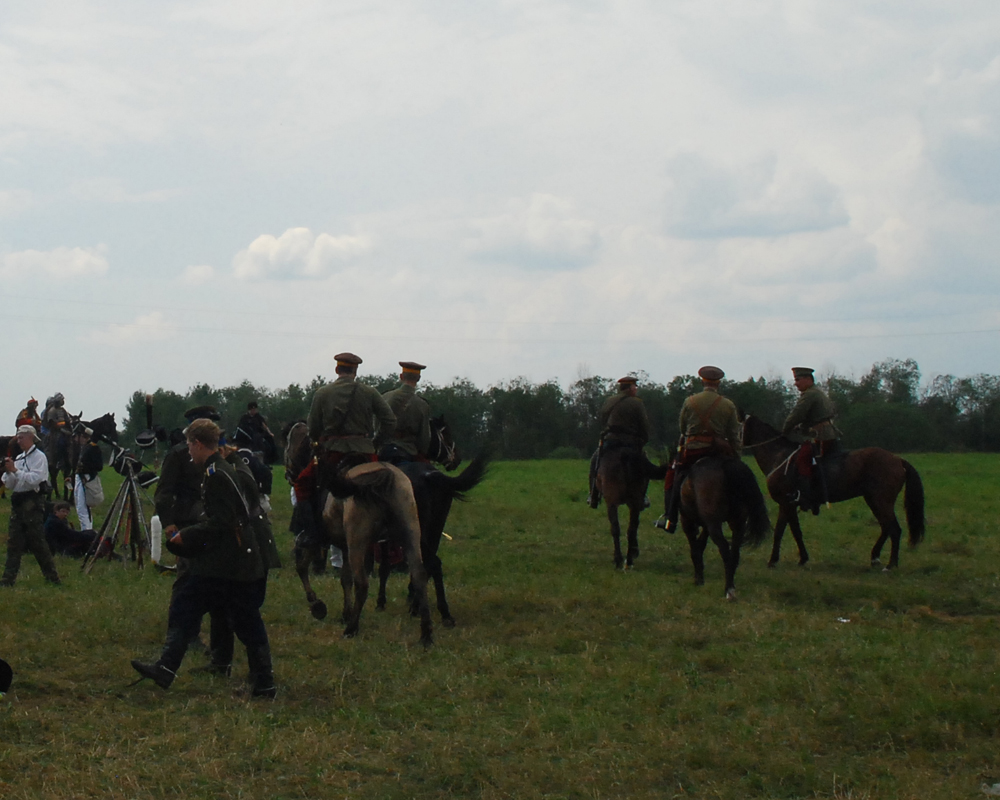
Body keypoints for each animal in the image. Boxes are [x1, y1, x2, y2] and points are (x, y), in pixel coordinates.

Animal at [375, 453, 490, 626]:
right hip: (435, 529)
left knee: (433, 563)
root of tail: (427, 475)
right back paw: (421, 608)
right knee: (429, 564)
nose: (455, 461)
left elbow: (384, 567)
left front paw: (381, 602)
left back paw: (443, 613)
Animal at [676, 456, 771, 600]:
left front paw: (698, 579)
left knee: (725, 549)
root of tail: (726, 465)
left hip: (714, 525)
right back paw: (731, 586)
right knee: (735, 552)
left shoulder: (687, 520)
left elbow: (695, 548)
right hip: (737, 523)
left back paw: (729, 590)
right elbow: (701, 545)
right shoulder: (706, 525)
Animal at [740, 414, 925, 570]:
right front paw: (800, 558)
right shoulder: (788, 505)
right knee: (886, 527)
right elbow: (792, 531)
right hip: (873, 501)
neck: (779, 456)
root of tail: (898, 459)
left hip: (881, 502)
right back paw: (875, 558)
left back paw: (890, 564)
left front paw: (774, 560)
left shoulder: (786, 504)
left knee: (894, 529)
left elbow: (783, 531)